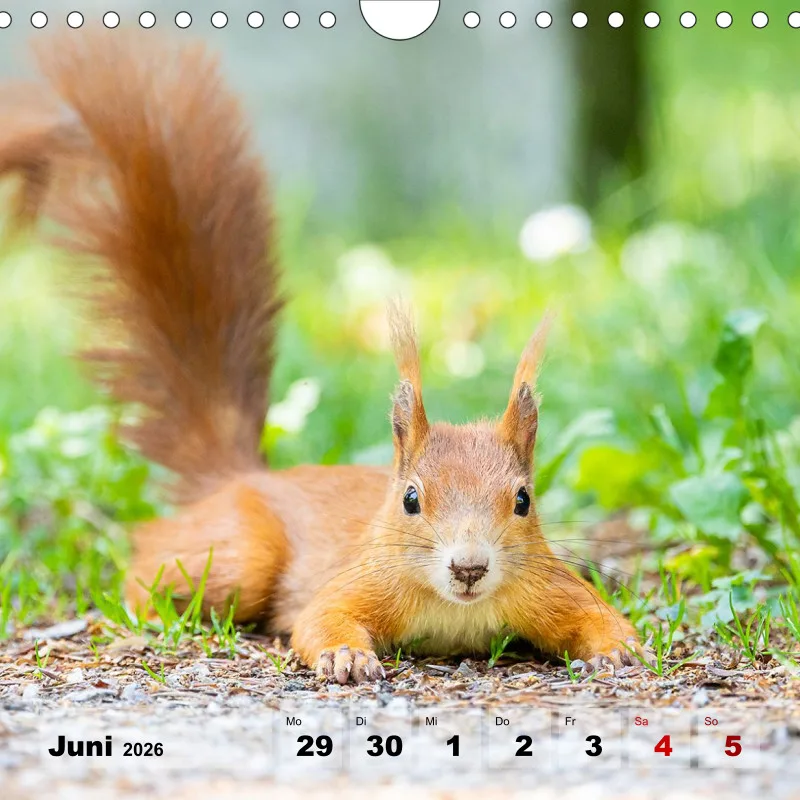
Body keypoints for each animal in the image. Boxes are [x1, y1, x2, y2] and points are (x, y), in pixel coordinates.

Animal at [0, 33, 650, 683]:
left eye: (523, 501)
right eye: (410, 499)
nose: (469, 567)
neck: (456, 611)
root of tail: (242, 478)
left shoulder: (545, 585)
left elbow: (603, 618)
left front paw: (617, 650)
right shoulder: (357, 581)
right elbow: (319, 618)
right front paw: (345, 655)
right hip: (241, 551)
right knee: (150, 570)